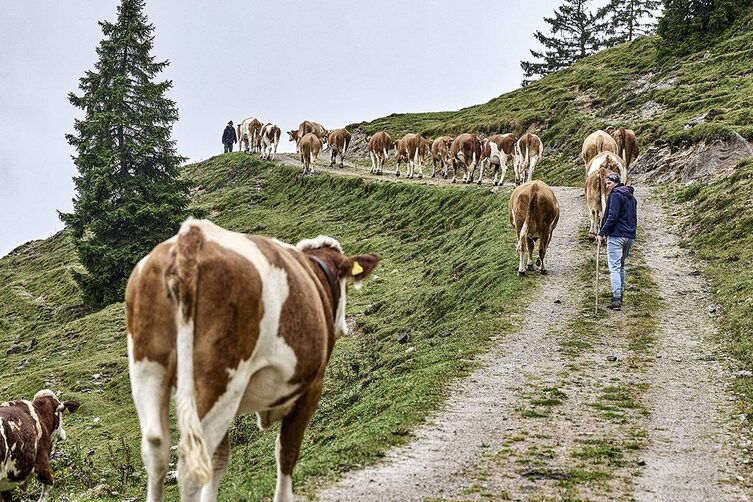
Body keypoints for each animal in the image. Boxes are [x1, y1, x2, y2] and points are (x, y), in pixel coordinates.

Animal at [125, 219, 379, 502]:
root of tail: (191, 237)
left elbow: (220, 459)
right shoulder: (312, 387)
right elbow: (287, 451)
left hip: (148, 368)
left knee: (156, 450)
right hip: (220, 380)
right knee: (191, 464)